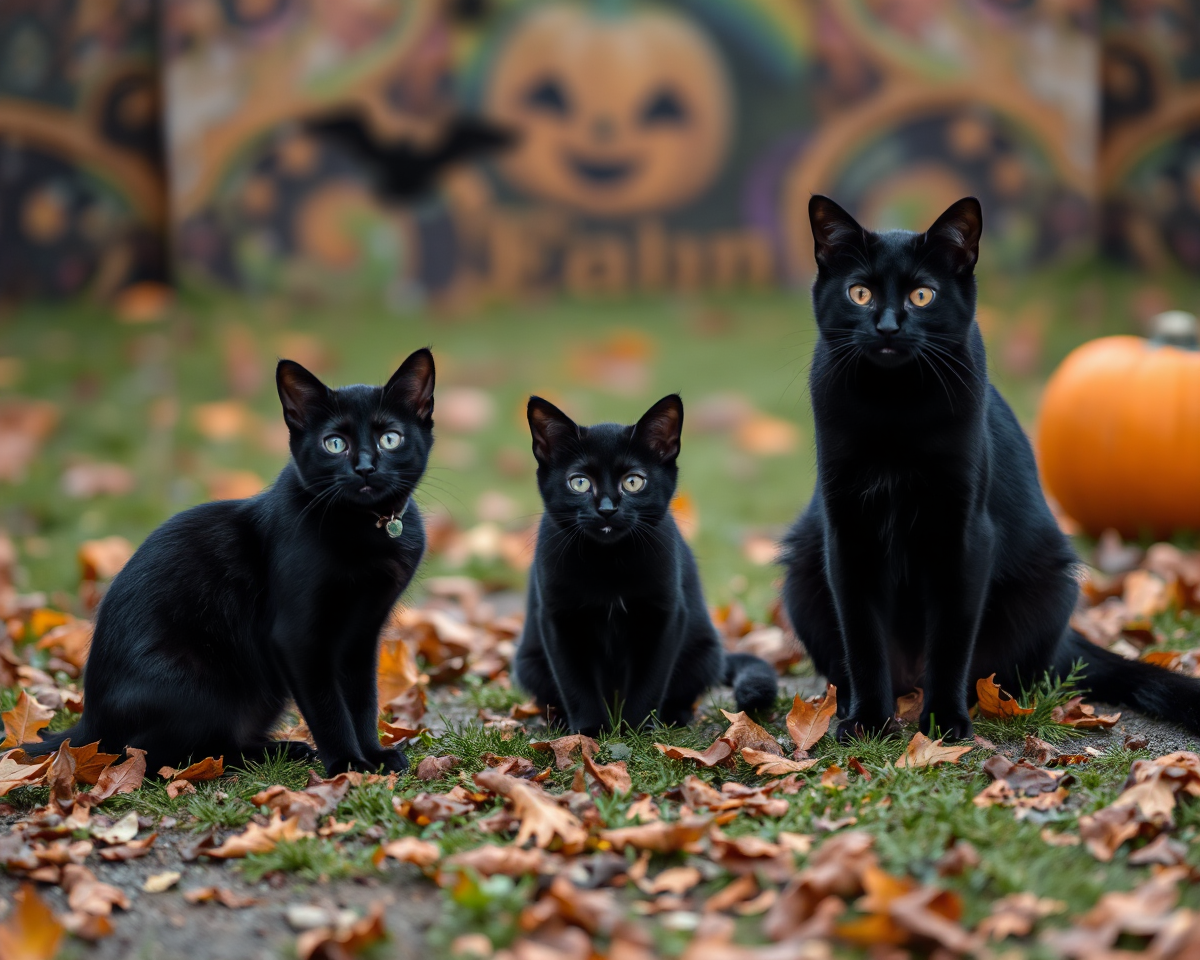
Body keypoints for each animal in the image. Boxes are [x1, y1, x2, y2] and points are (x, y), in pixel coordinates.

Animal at [24, 348, 436, 777]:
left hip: (264, 691)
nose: (366, 467)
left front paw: (375, 755)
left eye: (390, 439)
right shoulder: (298, 638)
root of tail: (87, 726)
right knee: (156, 756)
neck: (367, 526)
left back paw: (284, 750)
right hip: (202, 685)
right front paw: (348, 764)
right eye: (334, 444)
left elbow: (363, 700)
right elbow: (328, 707)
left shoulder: (361, 634)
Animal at [516, 391, 777, 734]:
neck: (608, 563)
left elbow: (650, 680)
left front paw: (636, 730)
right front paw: (589, 732)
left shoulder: (665, 615)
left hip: (704, 654)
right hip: (528, 663)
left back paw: (674, 718)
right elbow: (575, 683)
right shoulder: (558, 618)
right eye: (580, 483)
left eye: (633, 482)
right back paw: (559, 722)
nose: (607, 509)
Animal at [777, 196, 1200, 744]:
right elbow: (863, 639)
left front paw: (944, 723)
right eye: (860, 292)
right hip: (803, 572)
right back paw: (850, 703)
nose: (888, 326)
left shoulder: (965, 534)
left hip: (1051, 584)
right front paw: (869, 721)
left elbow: (952, 638)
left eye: (922, 295)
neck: (893, 408)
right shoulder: (847, 533)